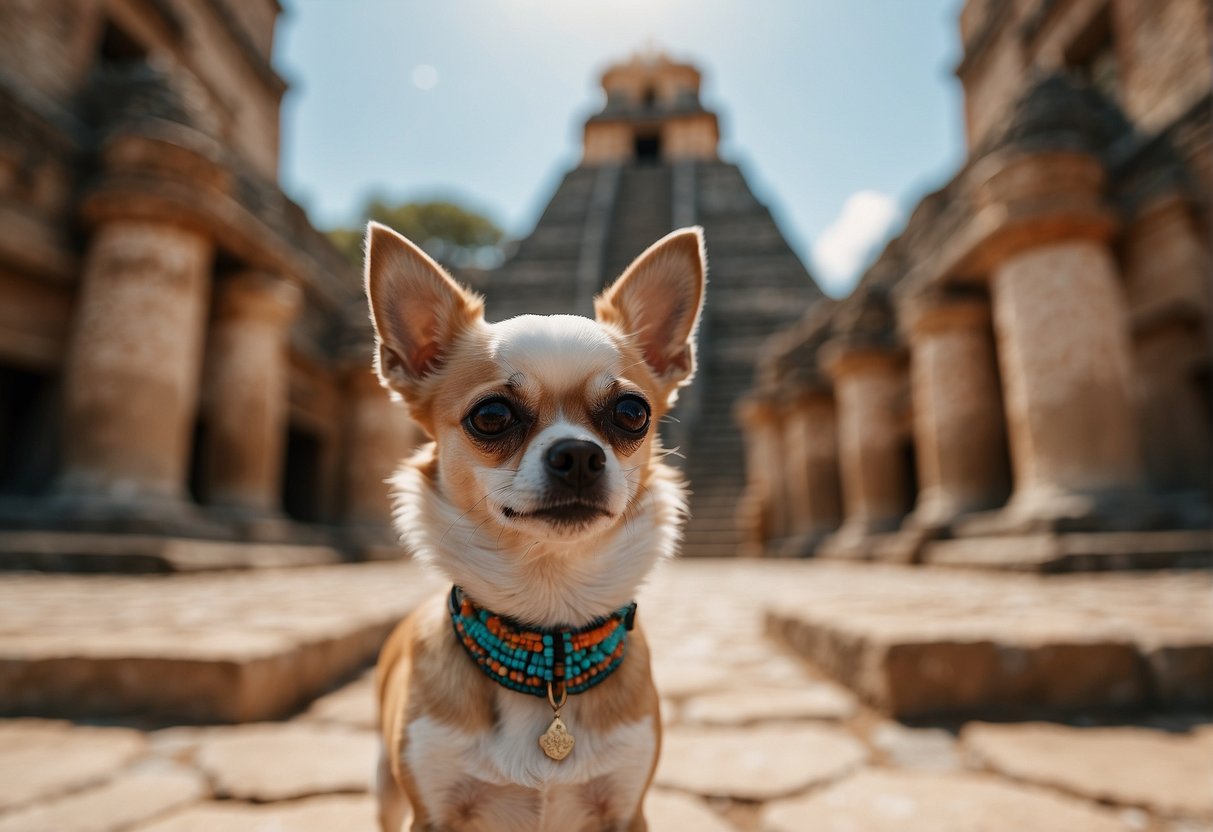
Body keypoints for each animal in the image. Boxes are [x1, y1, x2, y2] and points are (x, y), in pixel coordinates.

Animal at [368, 221, 708, 832]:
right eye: (491, 416)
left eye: (632, 413)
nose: (578, 454)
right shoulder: (429, 814)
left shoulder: (627, 810)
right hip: (385, 790)